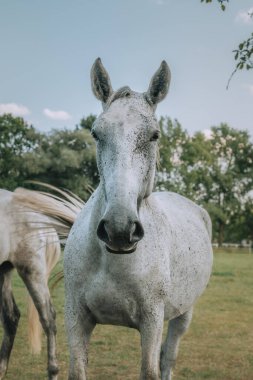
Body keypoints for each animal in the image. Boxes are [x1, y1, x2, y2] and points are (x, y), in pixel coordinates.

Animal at [63, 58, 213, 378]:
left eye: (154, 135)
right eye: (96, 133)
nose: (119, 229)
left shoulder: (151, 321)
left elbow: (151, 369)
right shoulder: (76, 318)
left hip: (183, 314)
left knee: (168, 358)